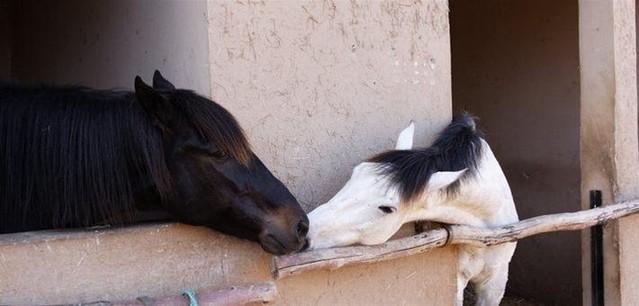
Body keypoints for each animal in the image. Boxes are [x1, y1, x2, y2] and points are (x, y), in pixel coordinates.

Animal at [308, 115, 524, 306]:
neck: (482, 233)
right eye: (355, 173)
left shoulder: (495, 282)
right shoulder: (455, 280)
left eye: (387, 209)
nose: (305, 231)